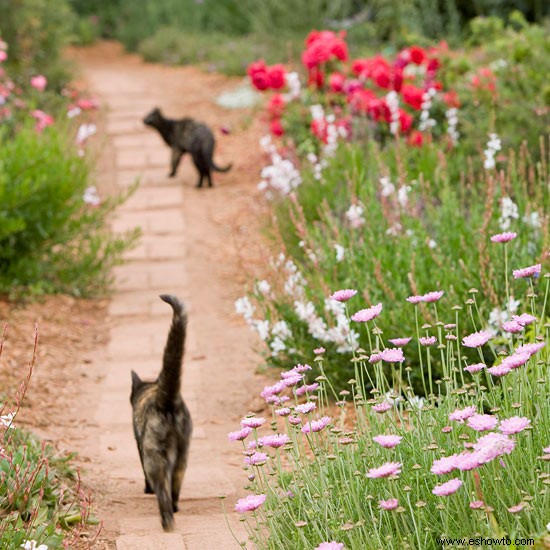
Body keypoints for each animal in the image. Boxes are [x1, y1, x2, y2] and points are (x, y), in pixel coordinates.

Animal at [130, 296, 193, 532]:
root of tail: (165, 399)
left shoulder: (139, 445)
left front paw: (147, 489)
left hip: (153, 455)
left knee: (161, 489)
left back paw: (167, 521)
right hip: (183, 453)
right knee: (175, 484)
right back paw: (175, 509)